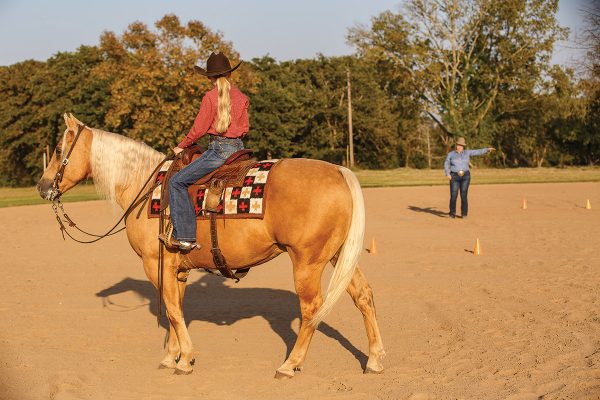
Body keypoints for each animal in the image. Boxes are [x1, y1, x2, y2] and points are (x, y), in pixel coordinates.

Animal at [36, 114, 384, 376]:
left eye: (58, 148)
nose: (42, 186)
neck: (145, 190)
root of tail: (339, 172)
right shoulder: (176, 268)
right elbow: (176, 310)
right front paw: (172, 357)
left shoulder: (154, 263)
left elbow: (173, 311)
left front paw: (186, 359)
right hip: (338, 255)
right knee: (363, 296)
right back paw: (374, 359)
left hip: (307, 262)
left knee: (311, 308)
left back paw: (290, 364)